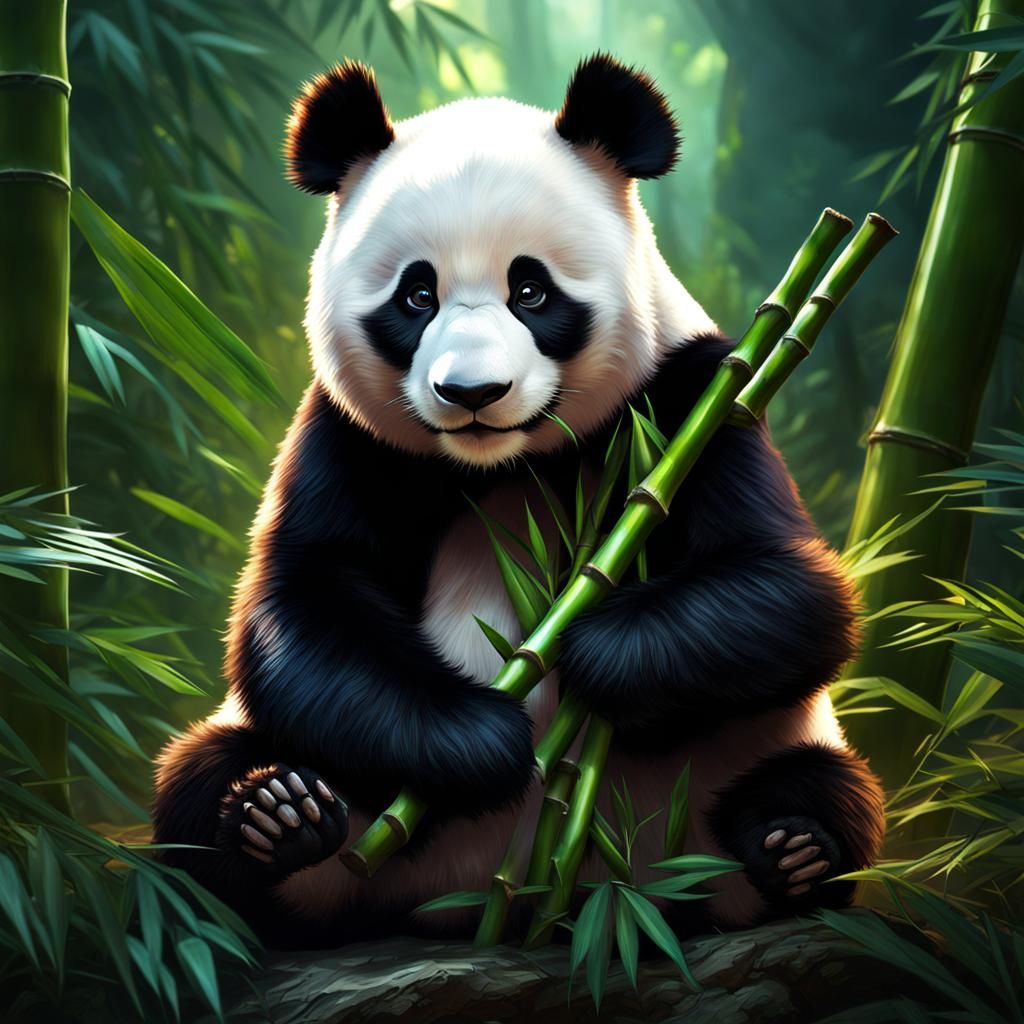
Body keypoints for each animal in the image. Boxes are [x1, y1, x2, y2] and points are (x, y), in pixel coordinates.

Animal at [153, 54, 885, 948]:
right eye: (417, 296)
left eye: (530, 291)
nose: (473, 393)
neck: (505, 468)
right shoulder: (350, 435)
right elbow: (303, 600)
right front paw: (487, 737)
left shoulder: (697, 398)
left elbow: (791, 591)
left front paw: (587, 652)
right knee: (200, 788)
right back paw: (276, 817)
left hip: (751, 766)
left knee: (830, 787)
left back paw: (793, 847)